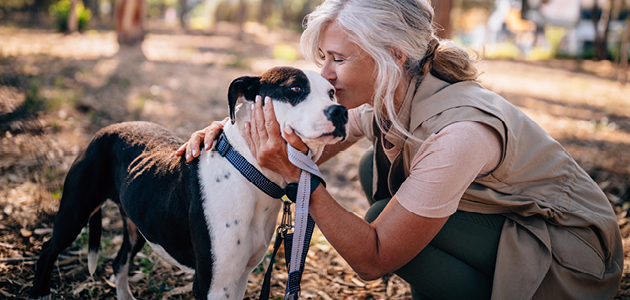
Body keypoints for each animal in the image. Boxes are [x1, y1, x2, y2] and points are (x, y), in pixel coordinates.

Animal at [27, 67, 348, 300]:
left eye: (332, 93)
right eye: (295, 89)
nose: (341, 112)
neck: (249, 172)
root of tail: (108, 128)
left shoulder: (238, 278)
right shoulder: (214, 285)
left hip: (140, 225)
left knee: (119, 262)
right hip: (74, 212)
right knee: (47, 250)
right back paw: (40, 293)